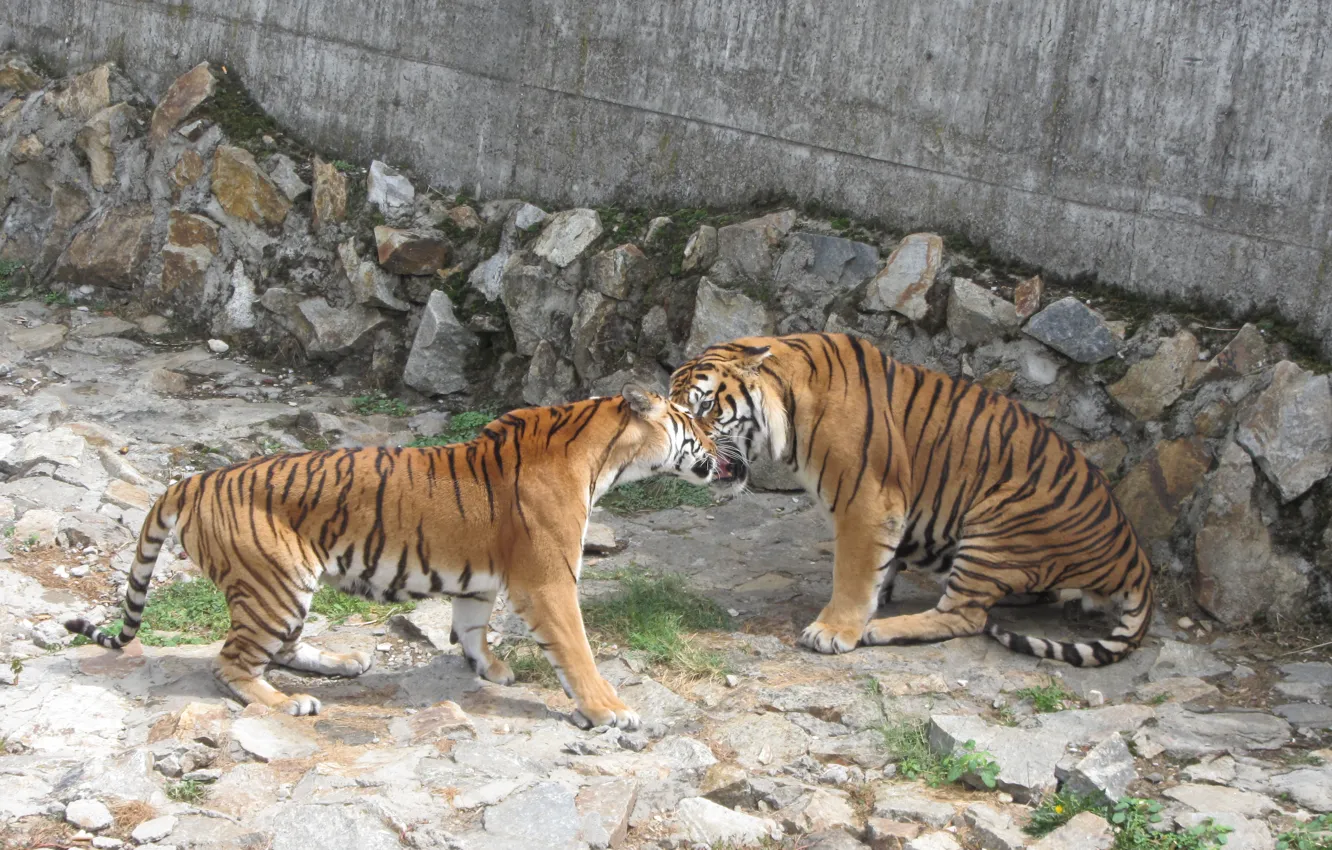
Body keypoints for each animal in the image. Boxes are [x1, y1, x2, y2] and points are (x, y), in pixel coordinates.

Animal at [67, 385, 729, 729]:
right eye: (693, 422)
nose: (723, 449)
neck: (605, 457)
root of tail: (192, 480)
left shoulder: (482, 583)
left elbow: (472, 626)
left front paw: (489, 669)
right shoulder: (549, 580)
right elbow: (577, 651)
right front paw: (610, 709)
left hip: (284, 588)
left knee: (274, 648)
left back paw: (345, 661)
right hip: (275, 581)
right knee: (232, 663)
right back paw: (289, 701)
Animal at [670, 333, 1154, 667]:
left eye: (705, 407)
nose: (685, 451)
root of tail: (1136, 561)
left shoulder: (867, 501)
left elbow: (853, 571)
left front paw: (836, 629)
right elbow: (878, 566)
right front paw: (878, 593)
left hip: (997, 522)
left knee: (965, 616)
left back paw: (881, 630)